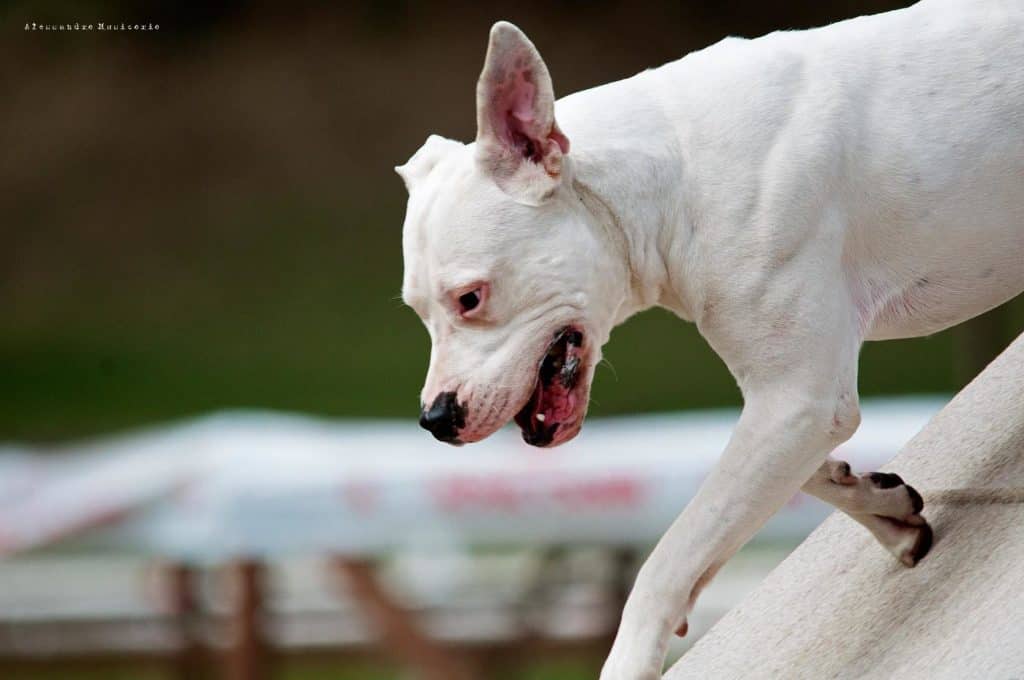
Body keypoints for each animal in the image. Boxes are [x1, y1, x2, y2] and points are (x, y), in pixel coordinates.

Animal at [395, 2, 1019, 675]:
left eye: (470, 297)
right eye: (417, 310)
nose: (435, 419)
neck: (670, 180)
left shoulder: (800, 398)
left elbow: (671, 555)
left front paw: (630, 659)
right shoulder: (793, 402)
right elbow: (777, 482)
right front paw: (882, 506)